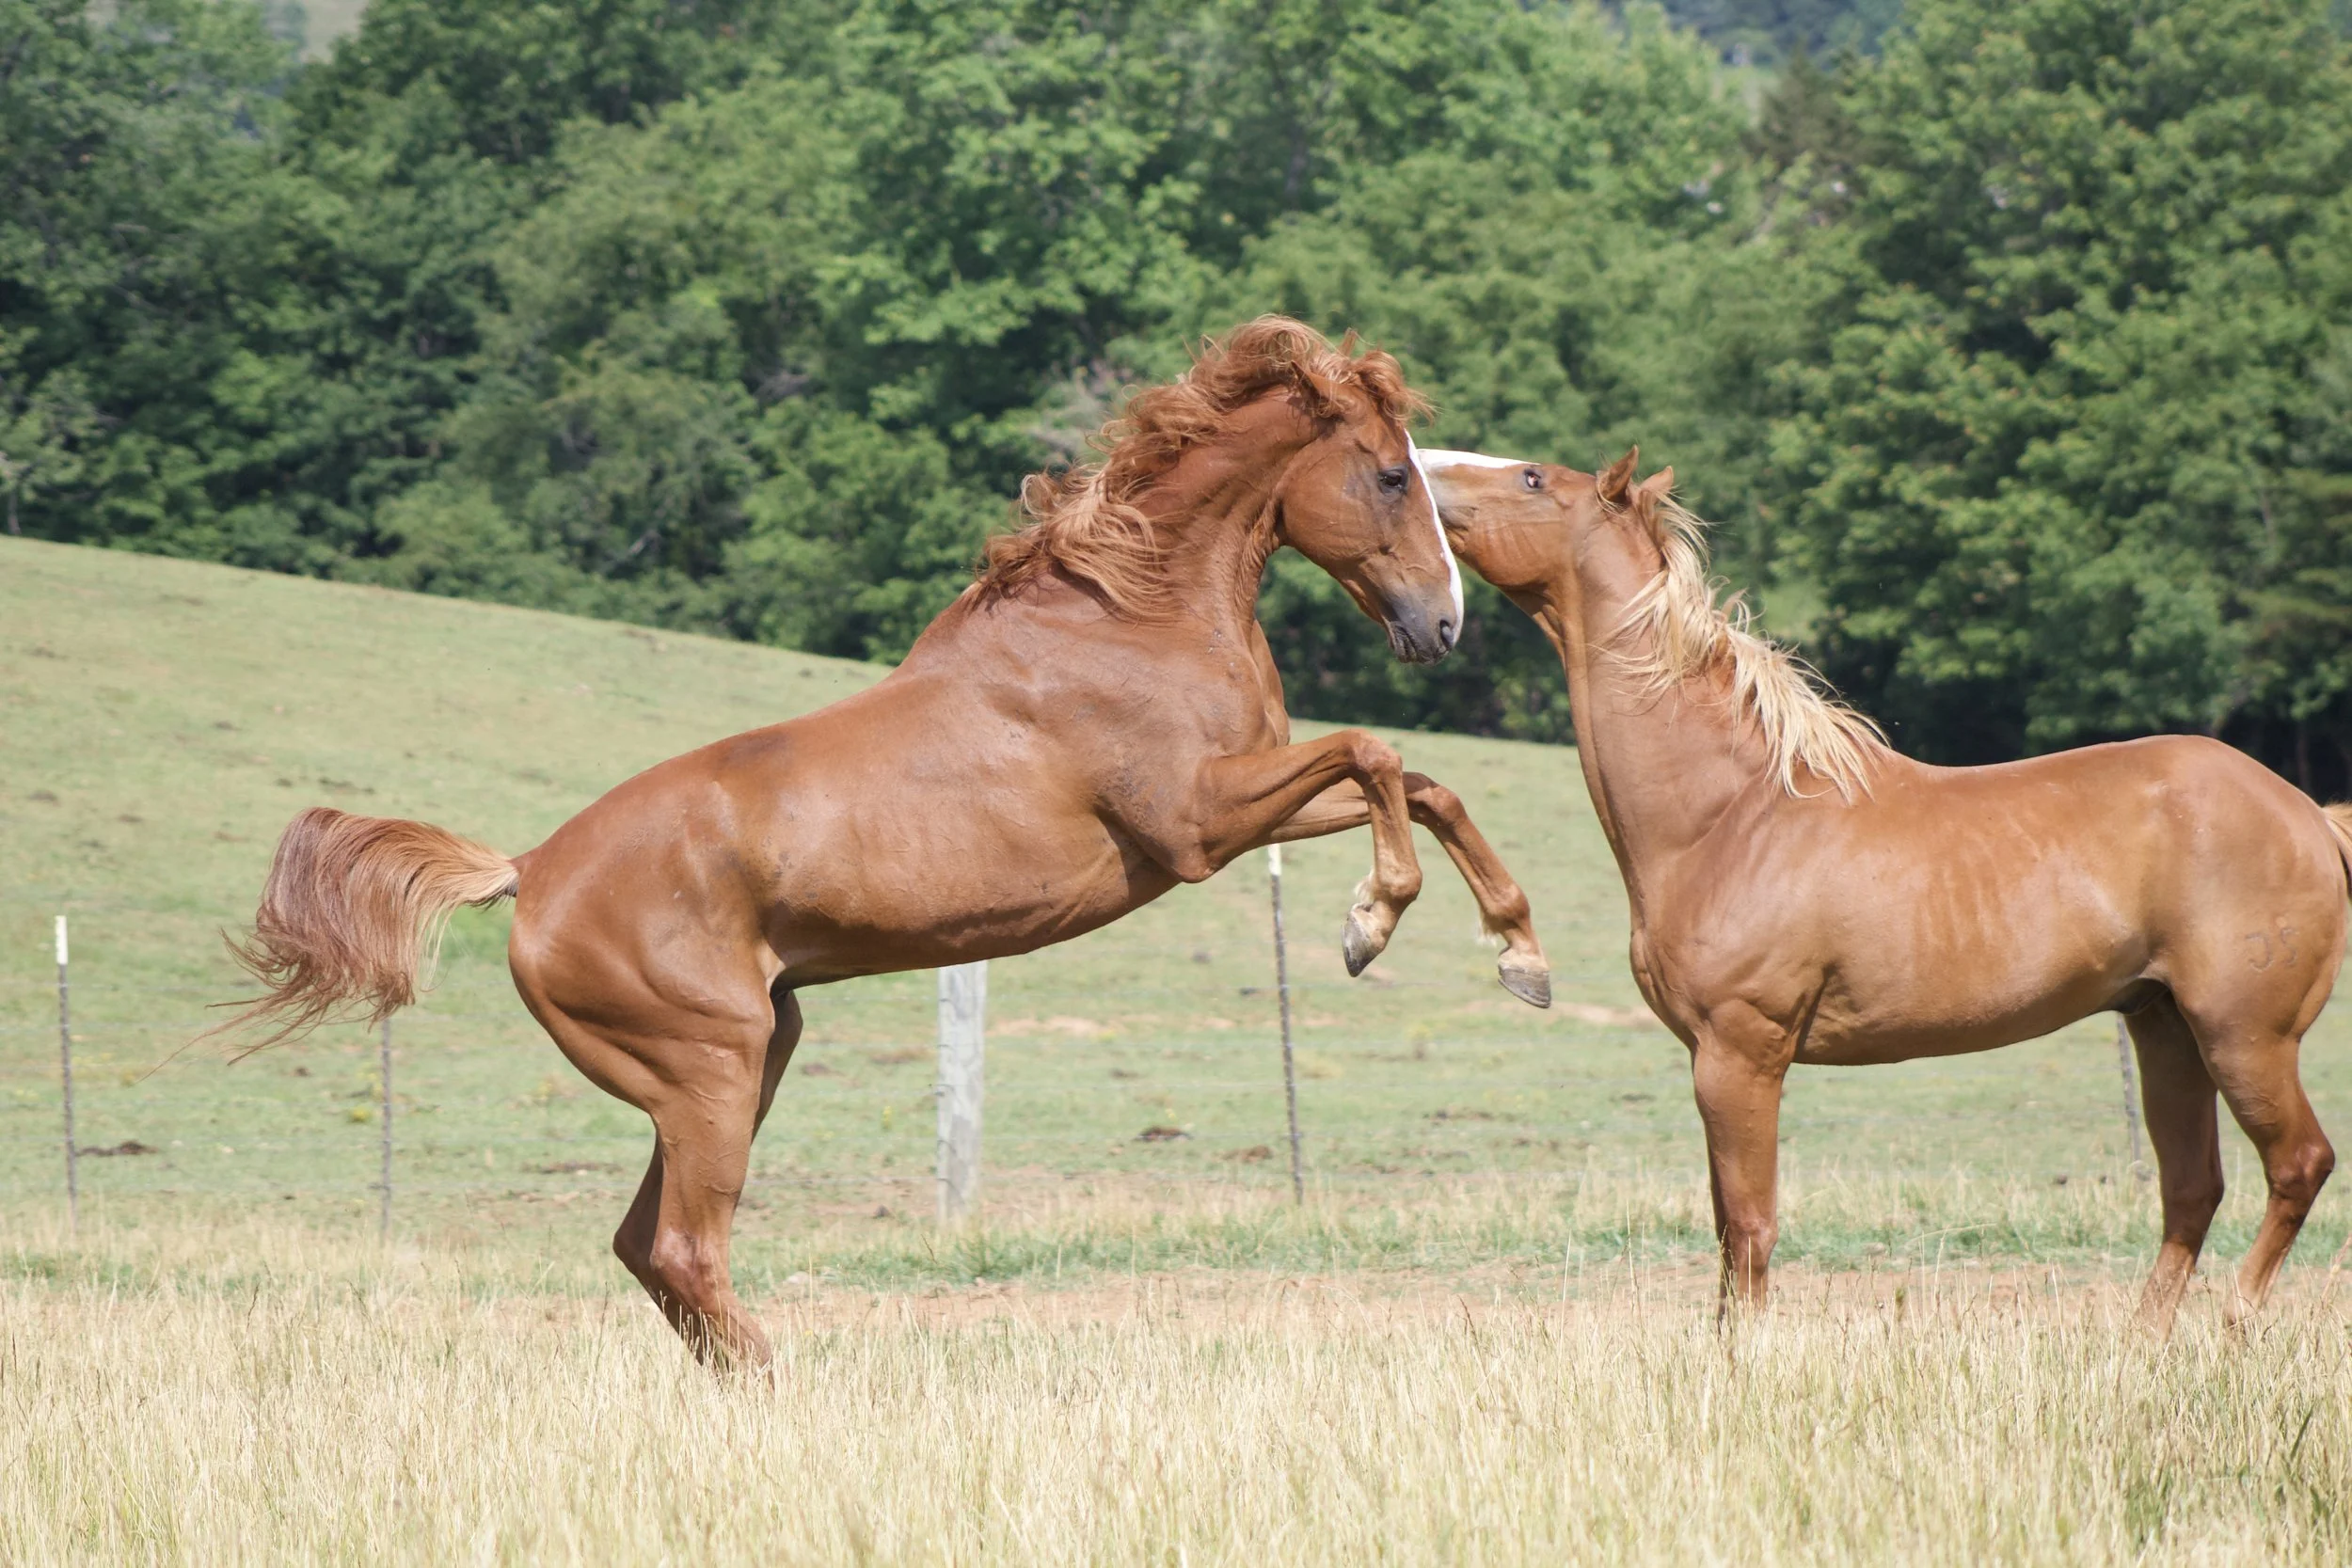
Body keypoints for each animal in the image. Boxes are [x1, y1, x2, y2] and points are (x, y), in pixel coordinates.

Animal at [219, 319, 1554, 1367]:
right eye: (1389, 476)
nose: (1442, 624)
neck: (1129, 613)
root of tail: (531, 871)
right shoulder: (1196, 824)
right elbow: (1376, 752)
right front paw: (1369, 924)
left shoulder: (1241, 807)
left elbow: (1424, 783)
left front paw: (1520, 955)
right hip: (707, 1072)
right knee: (687, 1248)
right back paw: (786, 1387)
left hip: (749, 1057)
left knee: (647, 1248)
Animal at [1420, 445, 2352, 1335]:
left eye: (1532, 478)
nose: (1418, 469)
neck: (1734, 813)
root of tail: (2310, 813)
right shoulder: (1710, 1056)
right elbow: (1726, 1231)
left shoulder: (1742, 1053)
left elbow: (1749, 1229)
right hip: (2166, 1031)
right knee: (2192, 1190)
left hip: (2244, 1037)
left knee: (2298, 1165)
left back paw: (2236, 1320)